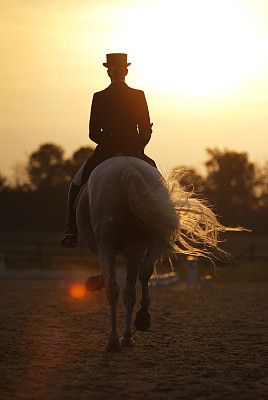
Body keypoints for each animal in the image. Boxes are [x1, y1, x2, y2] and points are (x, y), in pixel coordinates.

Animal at [75, 156, 232, 350]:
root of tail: (128, 169)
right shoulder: (133, 252)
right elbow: (131, 292)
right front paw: (128, 336)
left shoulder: (114, 249)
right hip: (149, 241)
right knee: (143, 274)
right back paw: (141, 319)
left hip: (108, 245)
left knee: (113, 287)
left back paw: (113, 340)